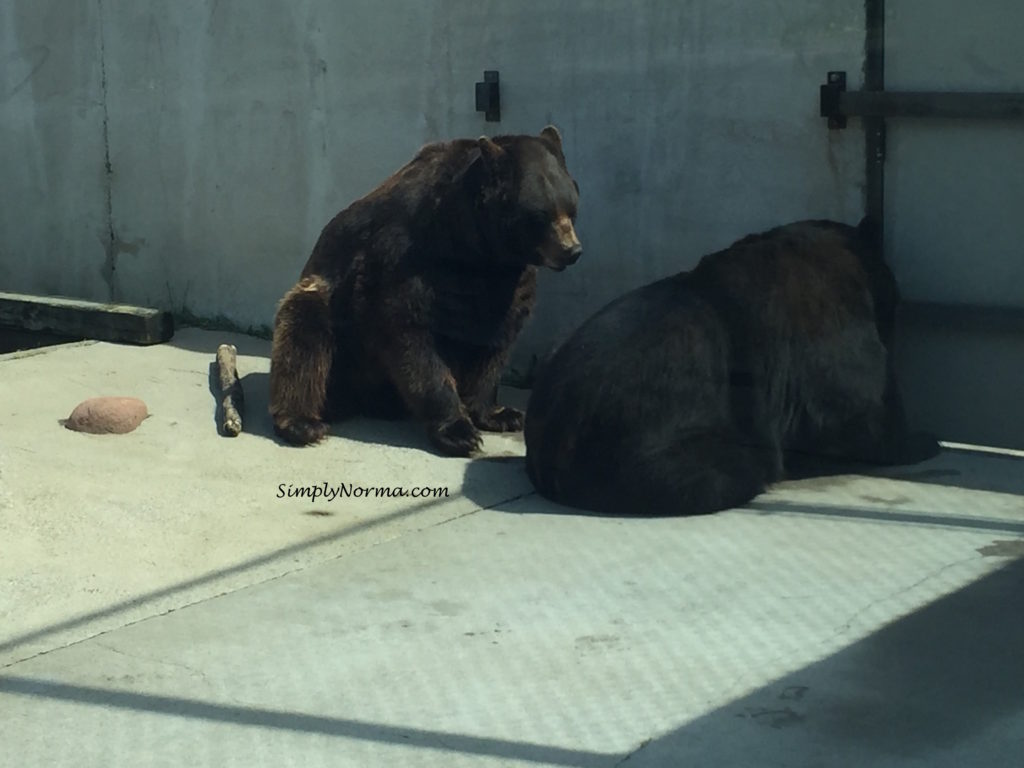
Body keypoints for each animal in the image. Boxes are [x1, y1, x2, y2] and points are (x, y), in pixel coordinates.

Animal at [268, 126, 581, 456]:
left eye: (571, 209)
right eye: (540, 216)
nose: (572, 250)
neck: (472, 248)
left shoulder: (506, 284)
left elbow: (496, 344)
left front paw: (501, 414)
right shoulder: (403, 258)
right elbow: (408, 335)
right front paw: (459, 431)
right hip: (328, 314)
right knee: (304, 334)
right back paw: (303, 422)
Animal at [524, 217, 937, 518]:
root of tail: (551, 440)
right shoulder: (835, 336)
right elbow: (857, 409)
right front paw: (919, 440)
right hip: (644, 449)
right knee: (735, 469)